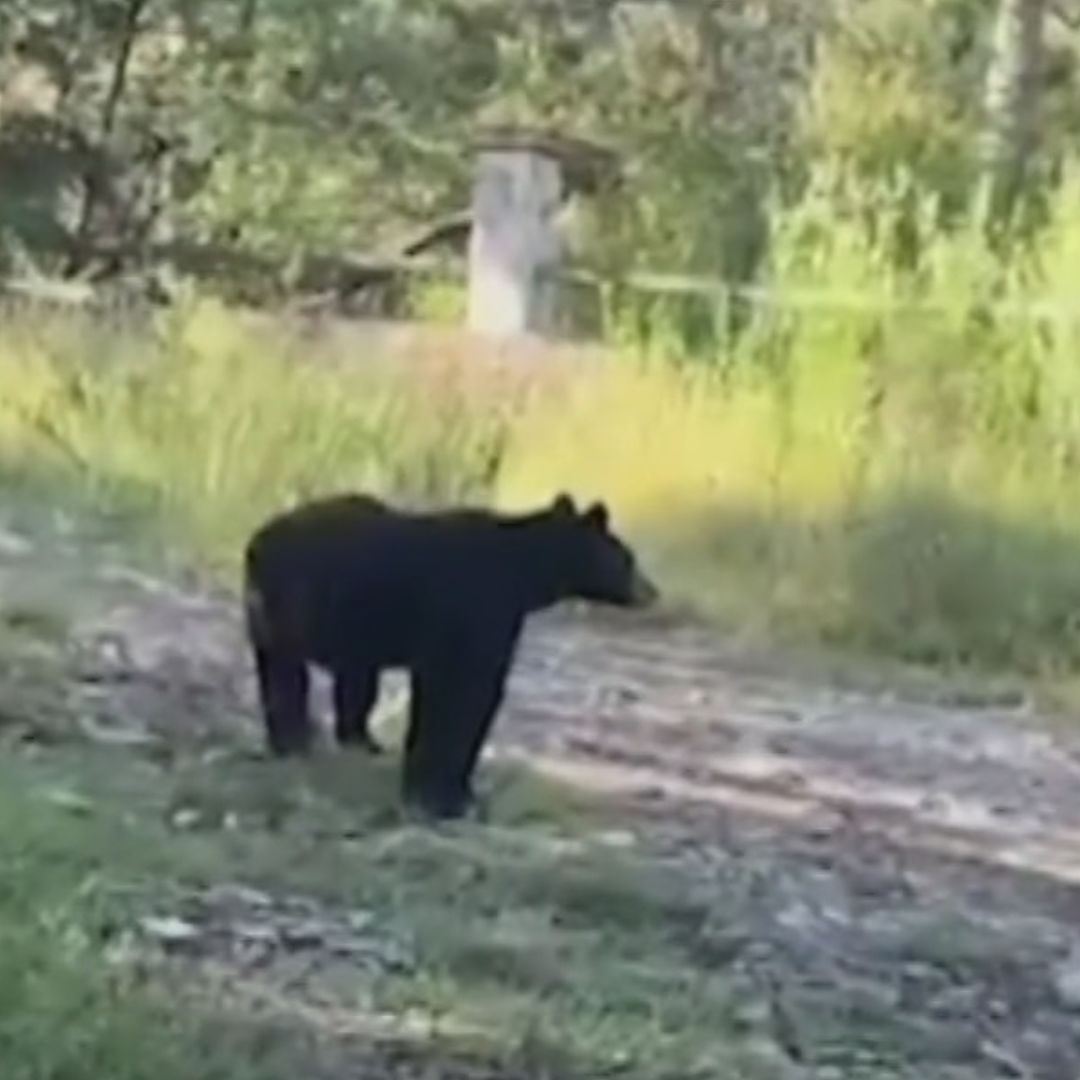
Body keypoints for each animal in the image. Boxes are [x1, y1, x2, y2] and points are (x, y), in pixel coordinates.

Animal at [242, 491, 658, 820]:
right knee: (291, 679)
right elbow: (462, 699)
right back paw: (299, 744)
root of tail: (258, 543)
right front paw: (444, 796)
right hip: (294, 607)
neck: (520, 573)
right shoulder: (469, 612)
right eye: (628, 558)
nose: (652, 592)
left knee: (286, 677)